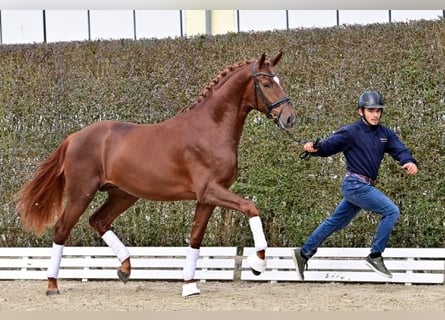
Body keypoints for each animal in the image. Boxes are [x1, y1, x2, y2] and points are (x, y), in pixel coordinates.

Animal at [15, 52, 296, 296]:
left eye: (279, 80)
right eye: (266, 83)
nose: (290, 118)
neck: (210, 128)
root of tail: (74, 137)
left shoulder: (206, 198)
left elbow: (195, 238)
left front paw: (189, 286)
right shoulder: (212, 191)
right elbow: (251, 207)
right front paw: (257, 265)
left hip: (123, 195)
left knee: (99, 221)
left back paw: (125, 269)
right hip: (81, 193)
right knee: (63, 228)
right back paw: (52, 285)